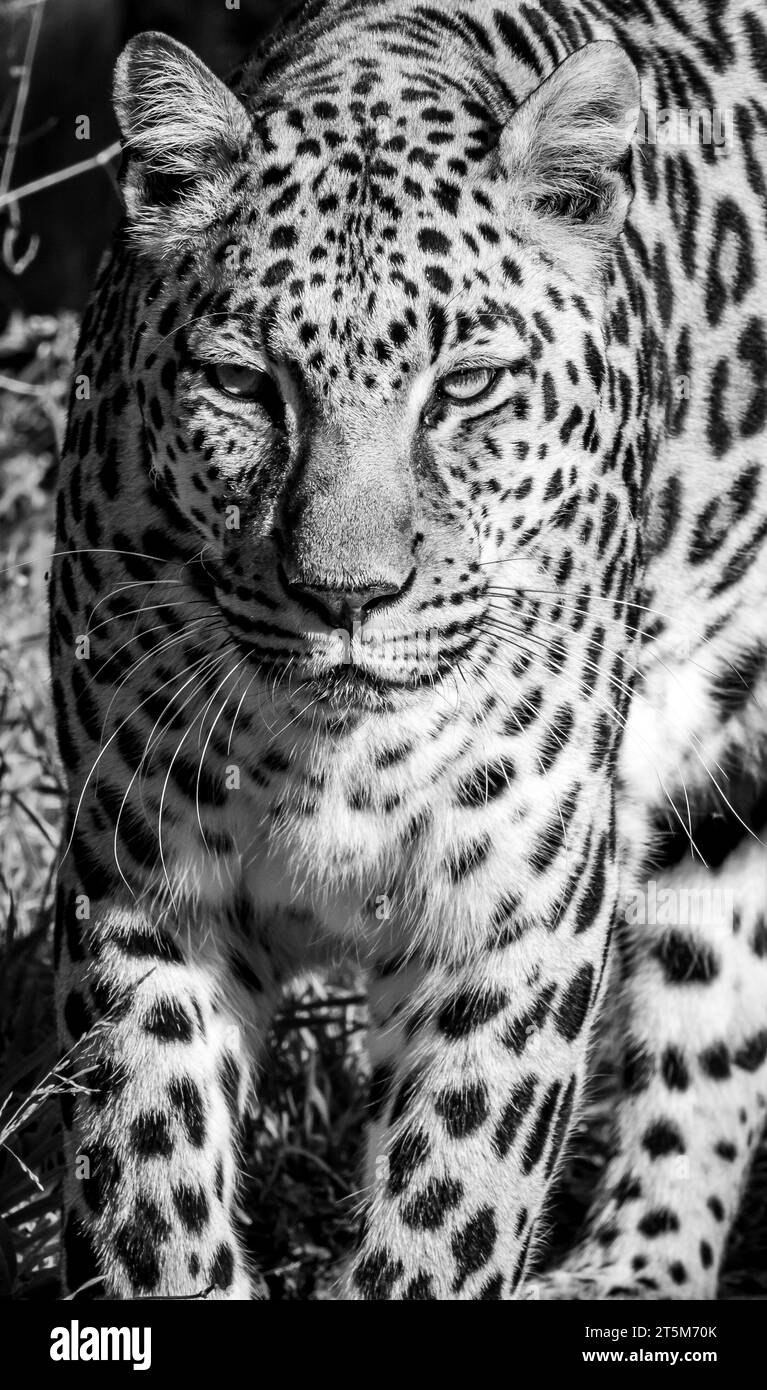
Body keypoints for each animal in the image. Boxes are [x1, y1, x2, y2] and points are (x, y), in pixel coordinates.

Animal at [49, 0, 767, 1301]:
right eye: (243, 386)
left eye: (467, 387)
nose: (348, 597)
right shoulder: (134, 889)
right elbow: (145, 1177)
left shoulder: (512, 925)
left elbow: (451, 1207)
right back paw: (633, 1272)